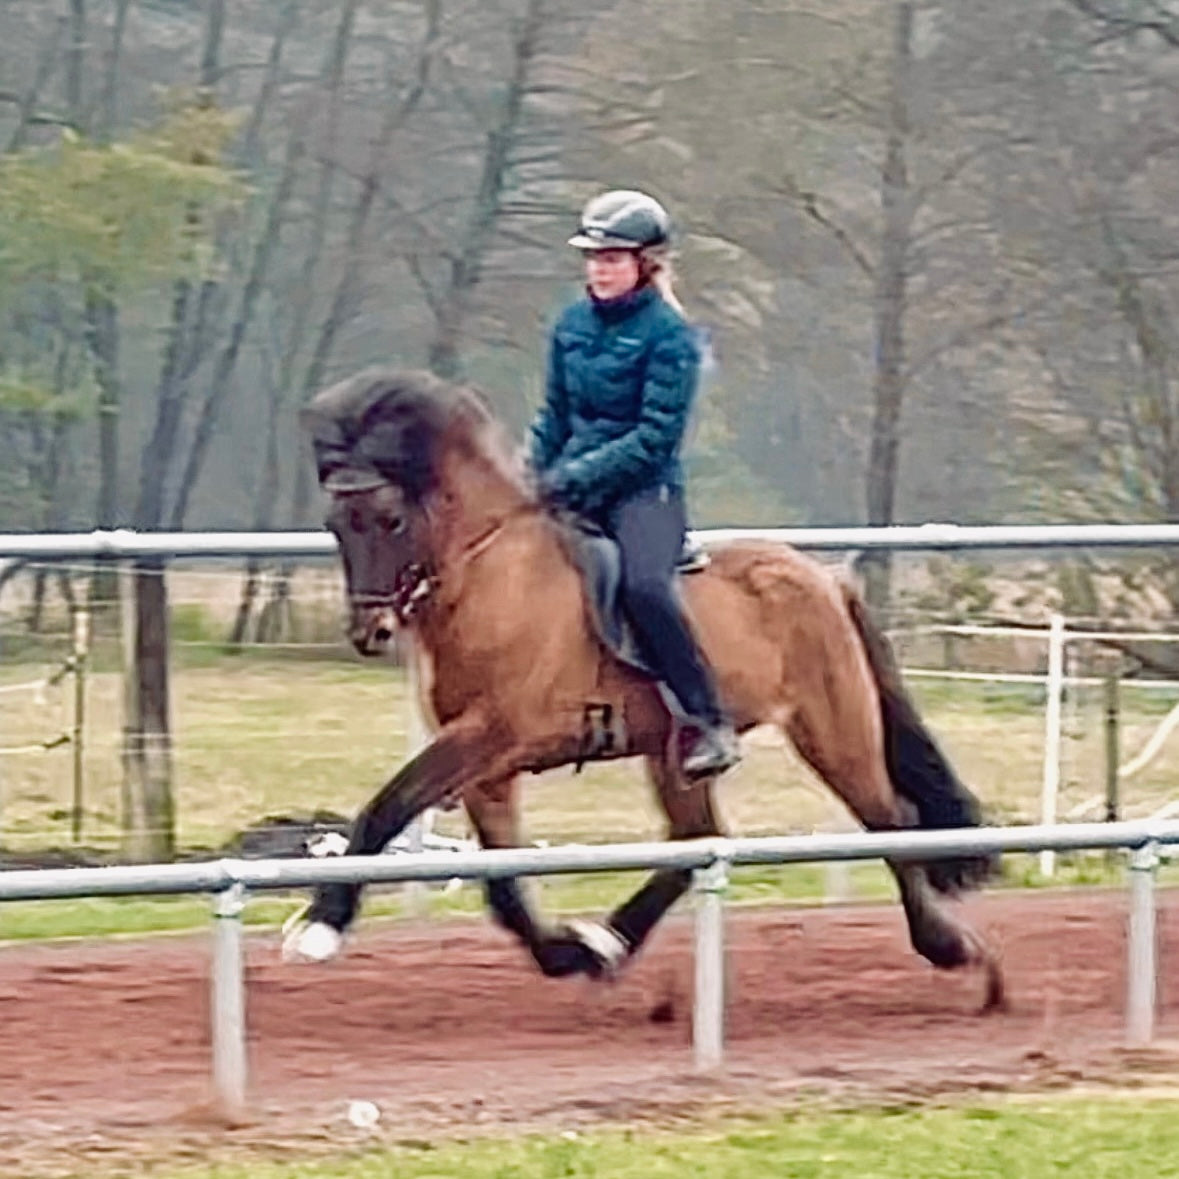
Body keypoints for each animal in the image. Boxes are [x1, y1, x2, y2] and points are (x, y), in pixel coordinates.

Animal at [282, 363, 1004, 1009]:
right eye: (336, 524)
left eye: (390, 518)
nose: (369, 630)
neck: (491, 573)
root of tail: (824, 578)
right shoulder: (488, 765)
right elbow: (503, 881)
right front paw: (566, 951)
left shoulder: (491, 734)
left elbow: (387, 805)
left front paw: (319, 925)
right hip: (677, 753)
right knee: (697, 841)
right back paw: (609, 940)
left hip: (833, 728)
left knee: (890, 820)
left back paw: (951, 948)